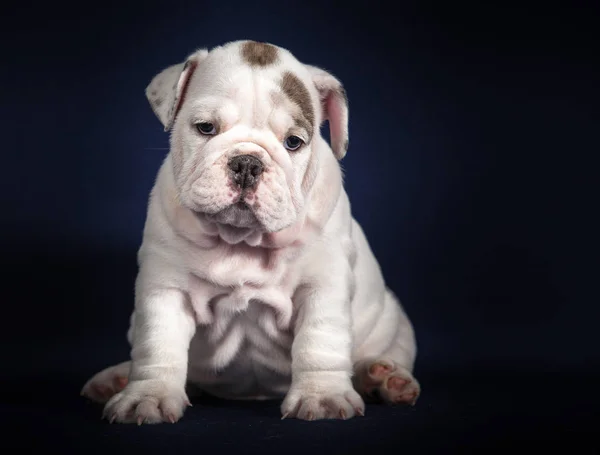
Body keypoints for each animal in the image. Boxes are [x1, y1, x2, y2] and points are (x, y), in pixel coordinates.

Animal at [79, 40, 420, 424]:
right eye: (206, 128)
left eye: (293, 142)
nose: (247, 163)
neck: (240, 240)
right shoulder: (164, 288)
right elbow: (157, 345)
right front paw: (147, 396)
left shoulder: (323, 286)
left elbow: (320, 342)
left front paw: (323, 397)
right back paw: (115, 379)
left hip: (393, 324)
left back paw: (384, 379)